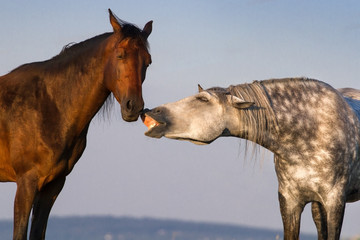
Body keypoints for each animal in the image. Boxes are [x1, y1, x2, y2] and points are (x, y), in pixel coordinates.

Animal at [0, 9, 152, 240]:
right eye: (120, 55)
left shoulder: (53, 185)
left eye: (148, 62)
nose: (133, 106)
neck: (49, 105)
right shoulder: (26, 183)